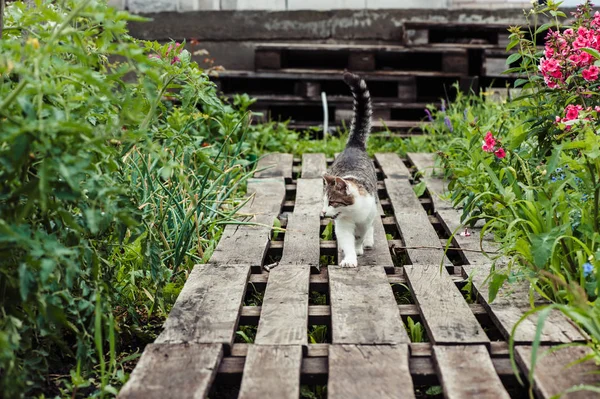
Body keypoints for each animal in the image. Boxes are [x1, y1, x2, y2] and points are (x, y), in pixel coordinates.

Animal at [322, 72, 378, 268]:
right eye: (323, 202)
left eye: (332, 202)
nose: (323, 213)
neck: (352, 213)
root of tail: (354, 145)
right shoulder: (343, 224)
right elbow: (347, 240)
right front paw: (349, 258)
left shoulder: (365, 219)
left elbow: (359, 236)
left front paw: (359, 247)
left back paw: (367, 242)